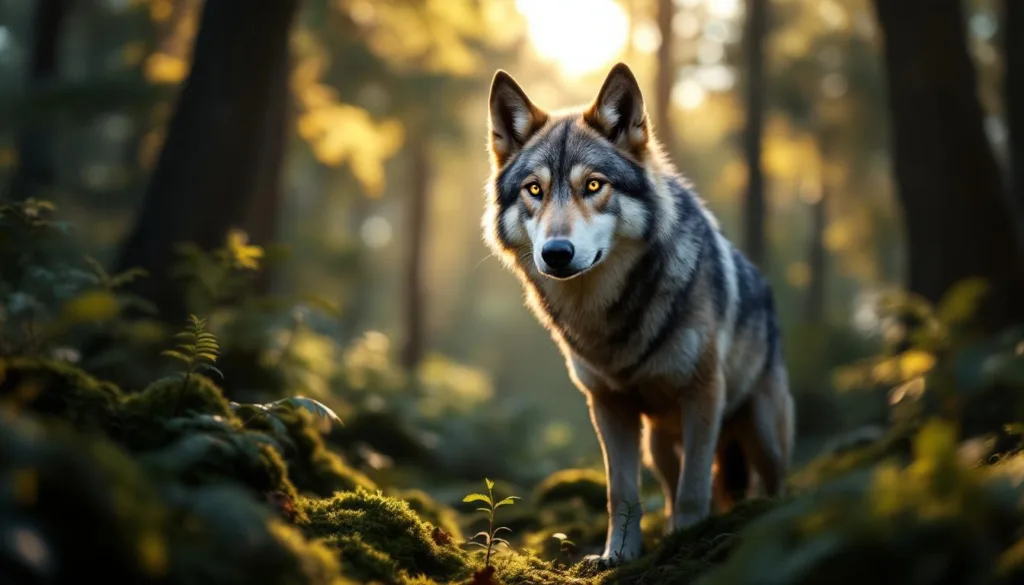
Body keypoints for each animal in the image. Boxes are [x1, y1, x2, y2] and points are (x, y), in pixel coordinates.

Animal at [481, 63, 795, 566]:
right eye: (535, 190)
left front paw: (687, 542)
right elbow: (622, 493)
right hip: (658, 445)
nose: (556, 253)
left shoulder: (703, 394)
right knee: (672, 486)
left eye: (593, 185)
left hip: (762, 431)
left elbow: (693, 490)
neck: (606, 314)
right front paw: (617, 555)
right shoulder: (608, 406)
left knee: (770, 485)